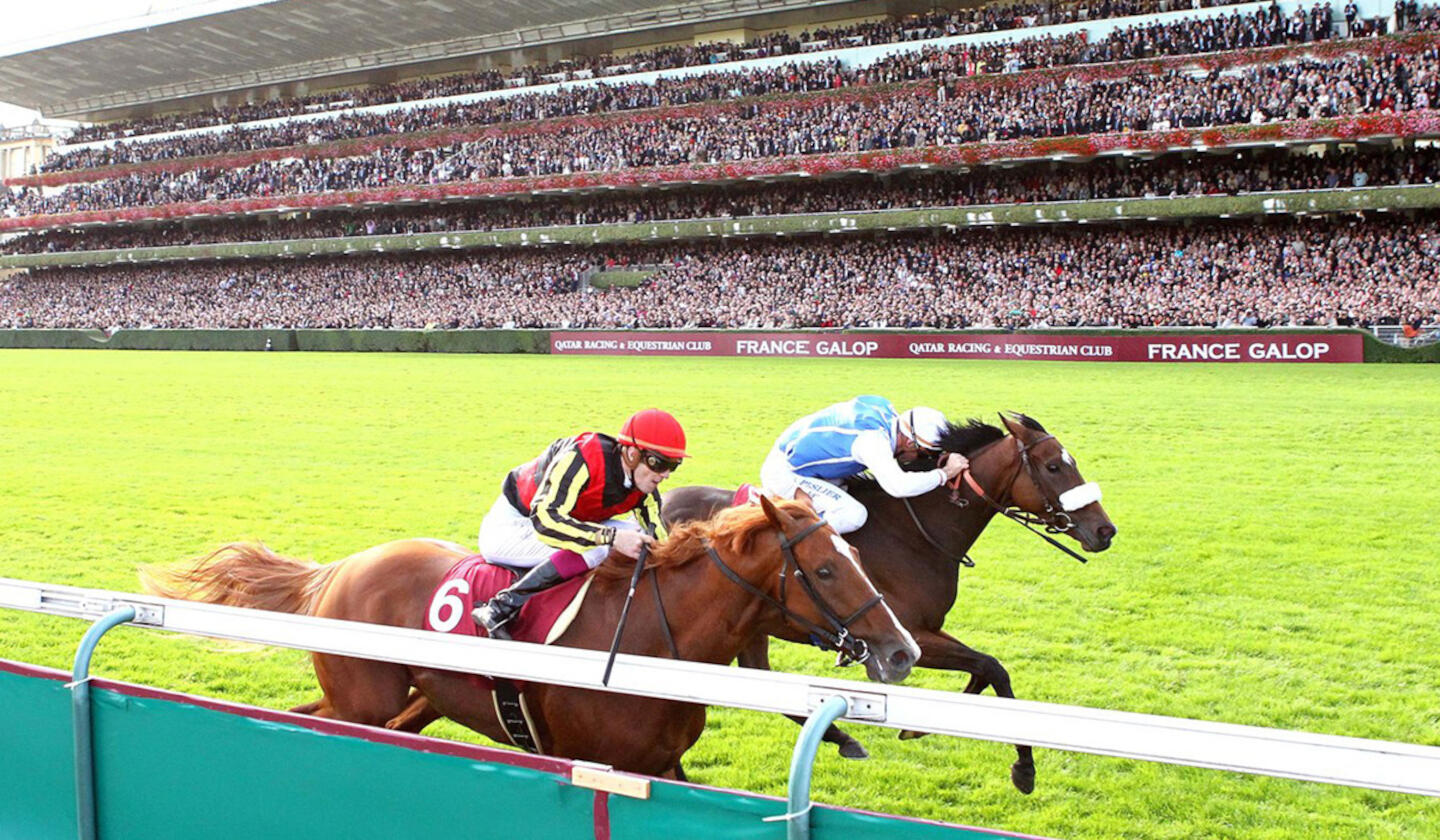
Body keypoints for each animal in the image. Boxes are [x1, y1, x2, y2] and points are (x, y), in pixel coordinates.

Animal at [140, 495, 915, 778]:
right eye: (823, 568)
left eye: (855, 554)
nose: (901, 651)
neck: (655, 644)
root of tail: (341, 568)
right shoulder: (601, 759)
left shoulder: (661, 765)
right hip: (365, 700)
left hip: (423, 701)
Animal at [659, 414, 1117, 795]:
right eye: (1054, 466)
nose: (1105, 530)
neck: (914, 533)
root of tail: (668, 502)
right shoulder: (910, 637)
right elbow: (991, 667)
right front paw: (1023, 768)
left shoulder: (923, 631)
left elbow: (989, 671)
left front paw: (921, 730)